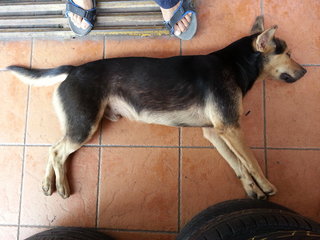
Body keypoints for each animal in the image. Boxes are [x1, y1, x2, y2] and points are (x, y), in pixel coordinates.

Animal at [6, 16, 308, 199]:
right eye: (288, 53)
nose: (305, 71)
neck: (235, 64)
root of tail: (74, 69)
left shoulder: (215, 132)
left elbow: (238, 164)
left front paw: (252, 189)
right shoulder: (231, 128)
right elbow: (251, 161)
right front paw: (266, 185)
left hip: (78, 124)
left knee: (53, 148)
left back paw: (48, 183)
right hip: (84, 125)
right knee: (58, 150)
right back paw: (61, 184)